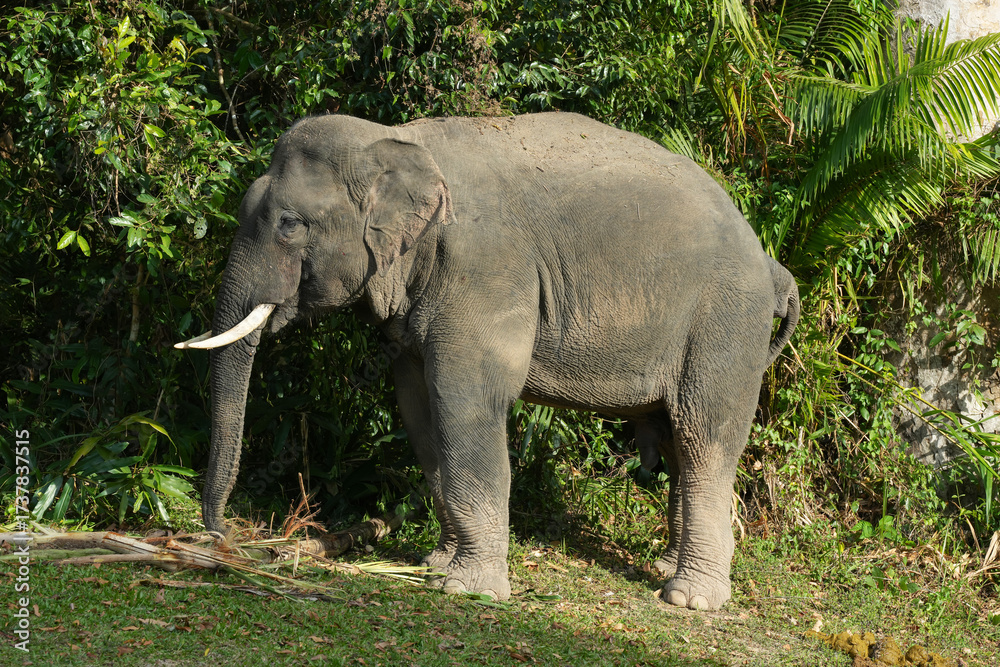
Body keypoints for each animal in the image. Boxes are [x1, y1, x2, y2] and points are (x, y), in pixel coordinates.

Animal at [175, 112, 799, 611]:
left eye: (289, 223)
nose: (223, 538)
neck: (398, 141)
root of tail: (771, 265)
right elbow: (419, 406)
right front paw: (437, 566)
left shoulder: (483, 268)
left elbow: (465, 399)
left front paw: (471, 590)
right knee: (674, 437)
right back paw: (670, 569)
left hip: (724, 323)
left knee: (703, 435)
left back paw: (690, 599)